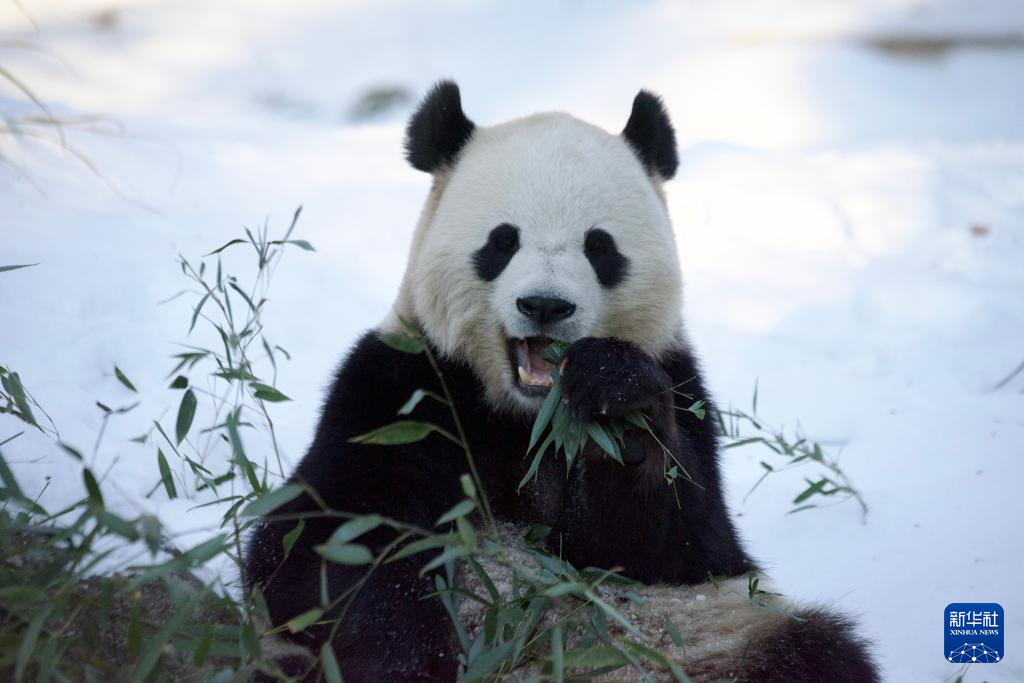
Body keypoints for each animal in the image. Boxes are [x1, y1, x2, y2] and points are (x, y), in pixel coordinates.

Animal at [243, 81, 876, 683]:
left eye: (600, 247)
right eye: (502, 241)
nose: (545, 305)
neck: (522, 415)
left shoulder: (683, 389)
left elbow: (679, 545)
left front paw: (617, 401)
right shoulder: (399, 392)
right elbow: (327, 542)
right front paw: (410, 663)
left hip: (716, 635)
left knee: (816, 652)